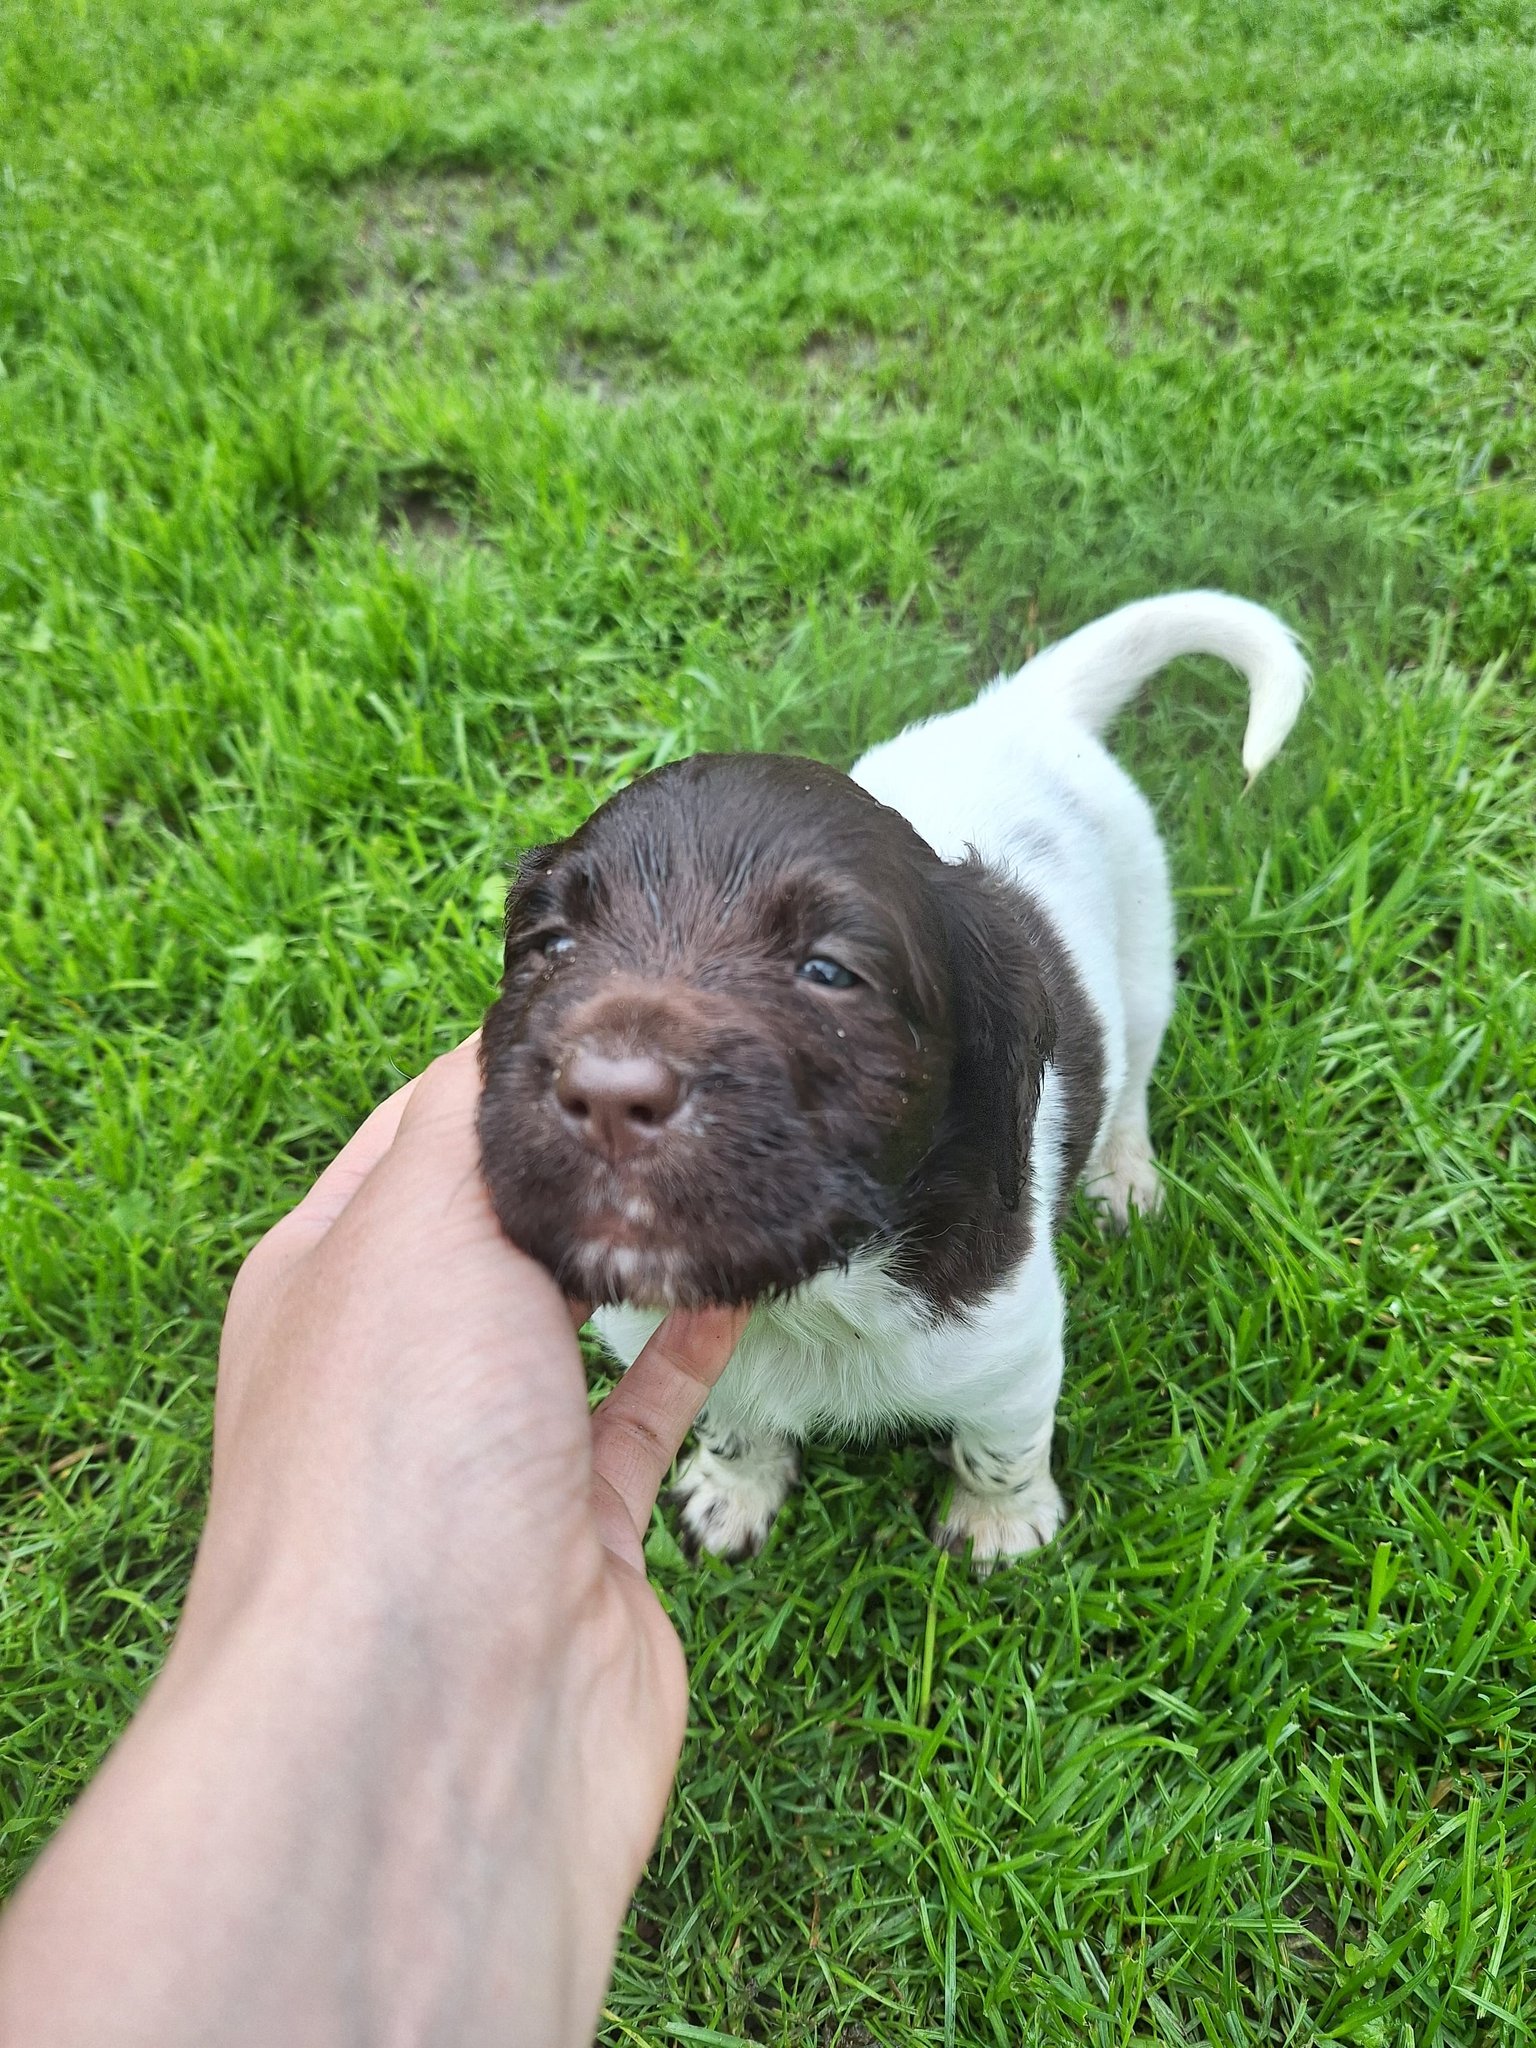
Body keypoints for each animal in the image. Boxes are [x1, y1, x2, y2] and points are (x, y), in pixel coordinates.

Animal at [478, 592, 1308, 1565]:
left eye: (831, 972)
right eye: (552, 946)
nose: (608, 1096)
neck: (814, 1298)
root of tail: (1021, 709)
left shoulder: (1015, 1347)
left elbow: (1002, 1442)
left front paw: (1000, 1527)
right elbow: (731, 1418)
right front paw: (732, 1493)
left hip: (1143, 964)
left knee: (1133, 1080)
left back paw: (1122, 1179)